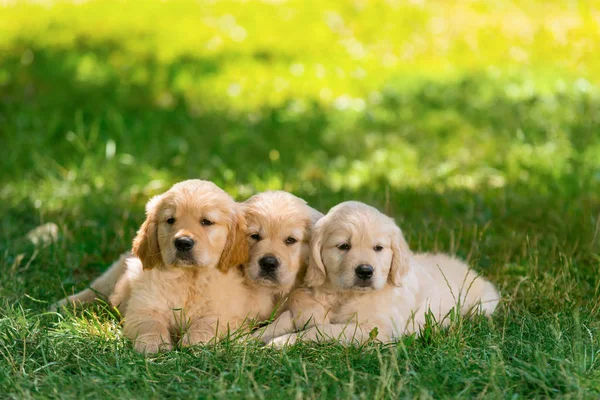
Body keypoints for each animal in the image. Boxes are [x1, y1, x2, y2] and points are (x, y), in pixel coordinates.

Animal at [262, 200, 502, 346]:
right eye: (343, 246)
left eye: (378, 248)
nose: (365, 271)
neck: (344, 296)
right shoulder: (306, 309)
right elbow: (283, 320)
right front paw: (256, 337)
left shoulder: (376, 329)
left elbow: (321, 330)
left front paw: (282, 342)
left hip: (481, 305)